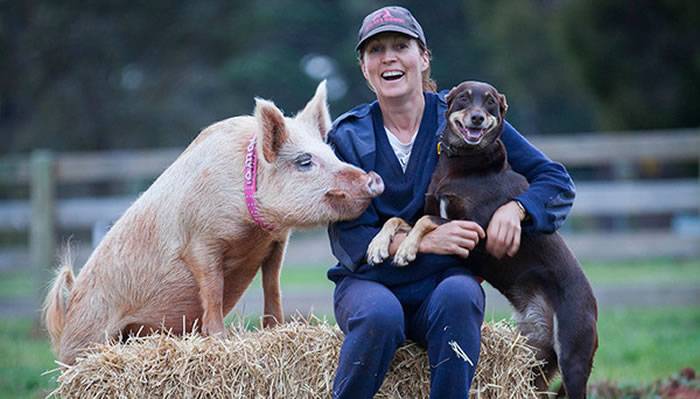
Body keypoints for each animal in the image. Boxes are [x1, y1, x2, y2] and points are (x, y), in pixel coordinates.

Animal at [44, 82, 386, 366]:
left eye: (332, 153)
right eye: (305, 161)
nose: (372, 178)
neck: (252, 228)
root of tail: (67, 310)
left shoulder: (277, 242)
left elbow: (272, 285)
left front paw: (275, 328)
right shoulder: (199, 242)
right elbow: (212, 290)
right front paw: (219, 339)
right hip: (87, 338)